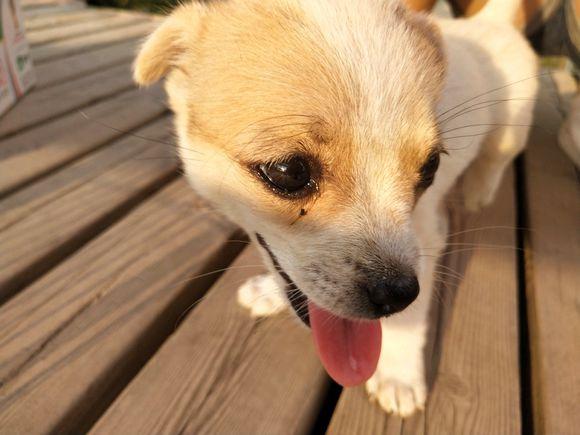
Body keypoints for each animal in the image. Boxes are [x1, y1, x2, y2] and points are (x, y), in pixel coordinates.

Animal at [135, 0, 540, 418]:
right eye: (289, 171)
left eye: (430, 167)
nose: (398, 293)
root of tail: (493, 21)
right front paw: (269, 292)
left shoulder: (424, 239)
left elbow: (412, 320)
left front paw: (399, 374)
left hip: (509, 136)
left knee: (495, 159)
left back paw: (479, 190)